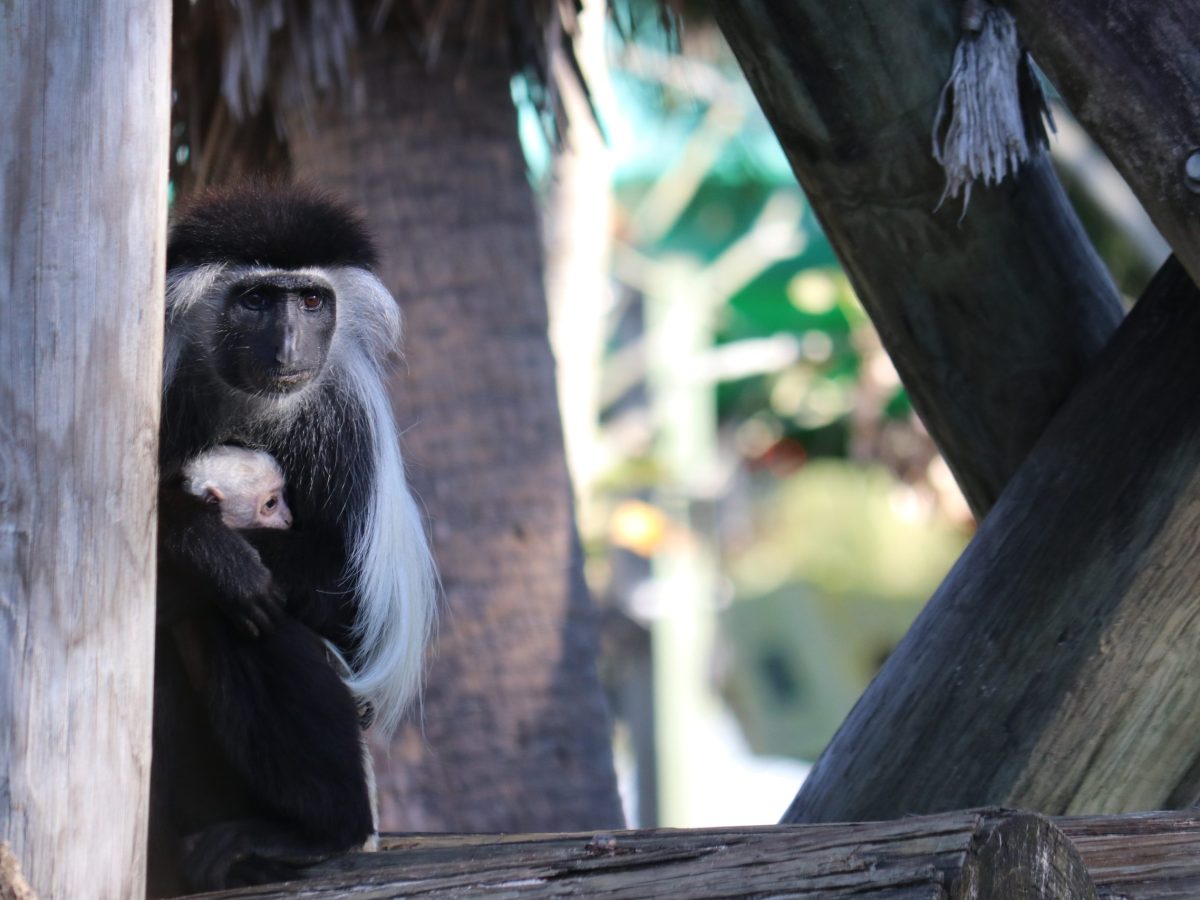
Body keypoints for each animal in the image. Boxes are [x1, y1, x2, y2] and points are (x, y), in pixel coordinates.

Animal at [148, 184, 436, 895]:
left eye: (309, 301)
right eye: (256, 300)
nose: (286, 347)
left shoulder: (345, 418)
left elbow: (356, 612)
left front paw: (220, 552)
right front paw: (203, 539)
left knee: (245, 616)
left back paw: (309, 834)